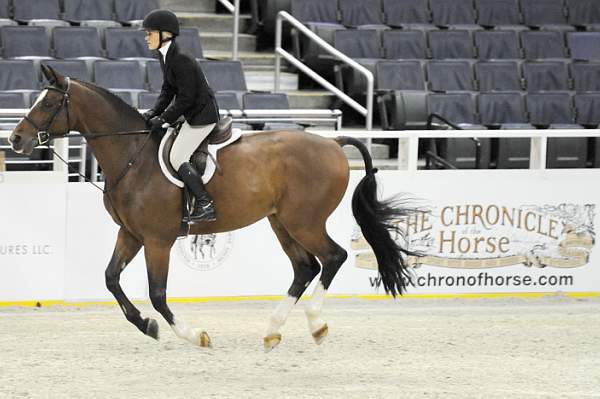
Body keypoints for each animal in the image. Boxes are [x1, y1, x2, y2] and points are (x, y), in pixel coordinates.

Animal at [9, 66, 414, 354]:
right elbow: (111, 279)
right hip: (280, 222)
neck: (132, 156)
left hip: (304, 221)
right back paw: (272, 332)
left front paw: (194, 336)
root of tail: (333, 143)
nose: (15, 139)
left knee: (333, 257)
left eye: (48, 104)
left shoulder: (157, 240)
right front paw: (147, 326)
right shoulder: (131, 234)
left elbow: (158, 294)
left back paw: (315, 324)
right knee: (305, 268)